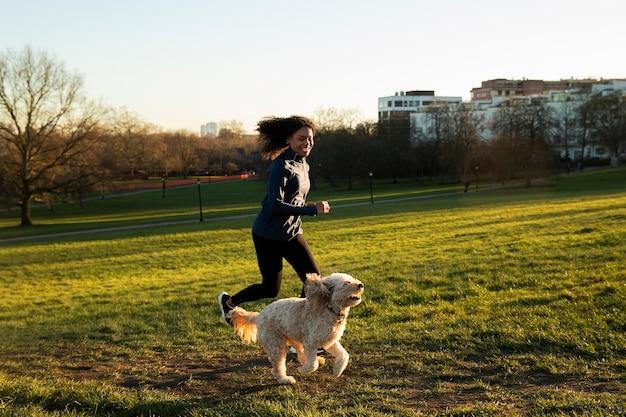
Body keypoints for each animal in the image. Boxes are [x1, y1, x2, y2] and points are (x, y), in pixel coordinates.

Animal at [228, 272, 364, 384]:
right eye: (346, 283)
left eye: (352, 279)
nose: (361, 284)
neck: (330, 309)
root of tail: (259, 315)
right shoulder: (311, 342)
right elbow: (312, 364)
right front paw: (303, 370)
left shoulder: (330, 341)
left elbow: (344, 355)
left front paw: (337, 370)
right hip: (276, 345)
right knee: (278, 367)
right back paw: (285, 379)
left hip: (294, 337)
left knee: (300, 354)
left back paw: (315, 360)